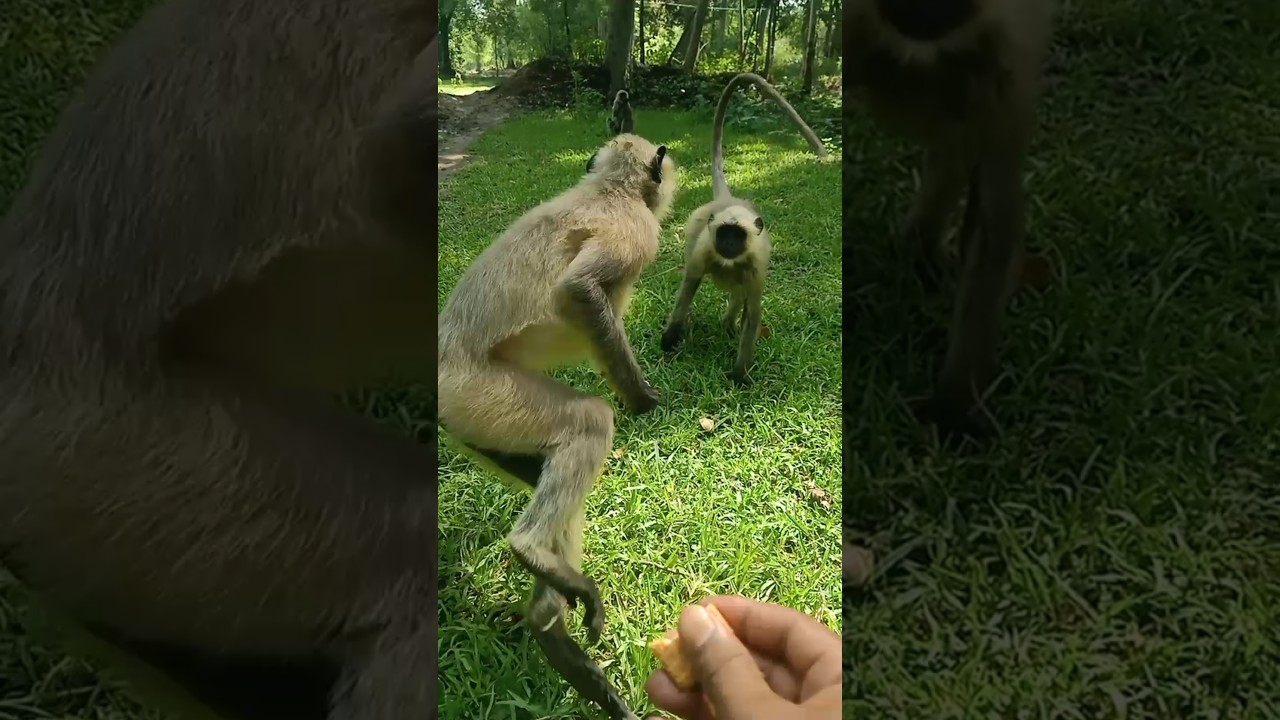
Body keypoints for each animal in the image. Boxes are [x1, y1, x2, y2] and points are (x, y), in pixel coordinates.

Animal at [436, 133, 678, 720]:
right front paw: (645, 402)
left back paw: (552, 625)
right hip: (480, 394)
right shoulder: (637, 229)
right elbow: (579, 290)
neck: (609, 188)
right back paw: (531, 553)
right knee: (590, 420)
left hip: (477, 422)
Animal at [660, 73, 828, 387]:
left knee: (738, 296)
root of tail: (728, 199)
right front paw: (669, 339)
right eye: (724, 233)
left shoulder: (754, 266)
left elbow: (753, 313)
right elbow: (687, 291)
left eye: (737, 236)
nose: (728, 245)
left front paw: (740, 375)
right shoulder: (703, 252)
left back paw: (728, 325)